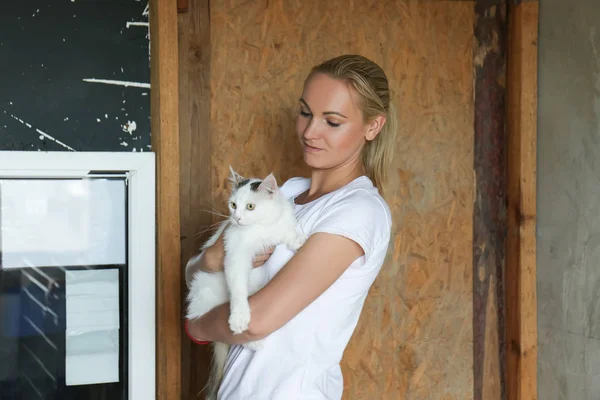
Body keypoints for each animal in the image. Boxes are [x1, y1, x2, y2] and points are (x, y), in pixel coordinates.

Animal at [186, 166, 304, 400]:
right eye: (233, 205)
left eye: (251, 206)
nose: (237, 218)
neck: (262, 227)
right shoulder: (235, 255)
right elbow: (239, 288)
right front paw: (240, 317)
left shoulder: (280, 224)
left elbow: (286, 230)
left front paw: (297, 240)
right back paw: (251, 338)